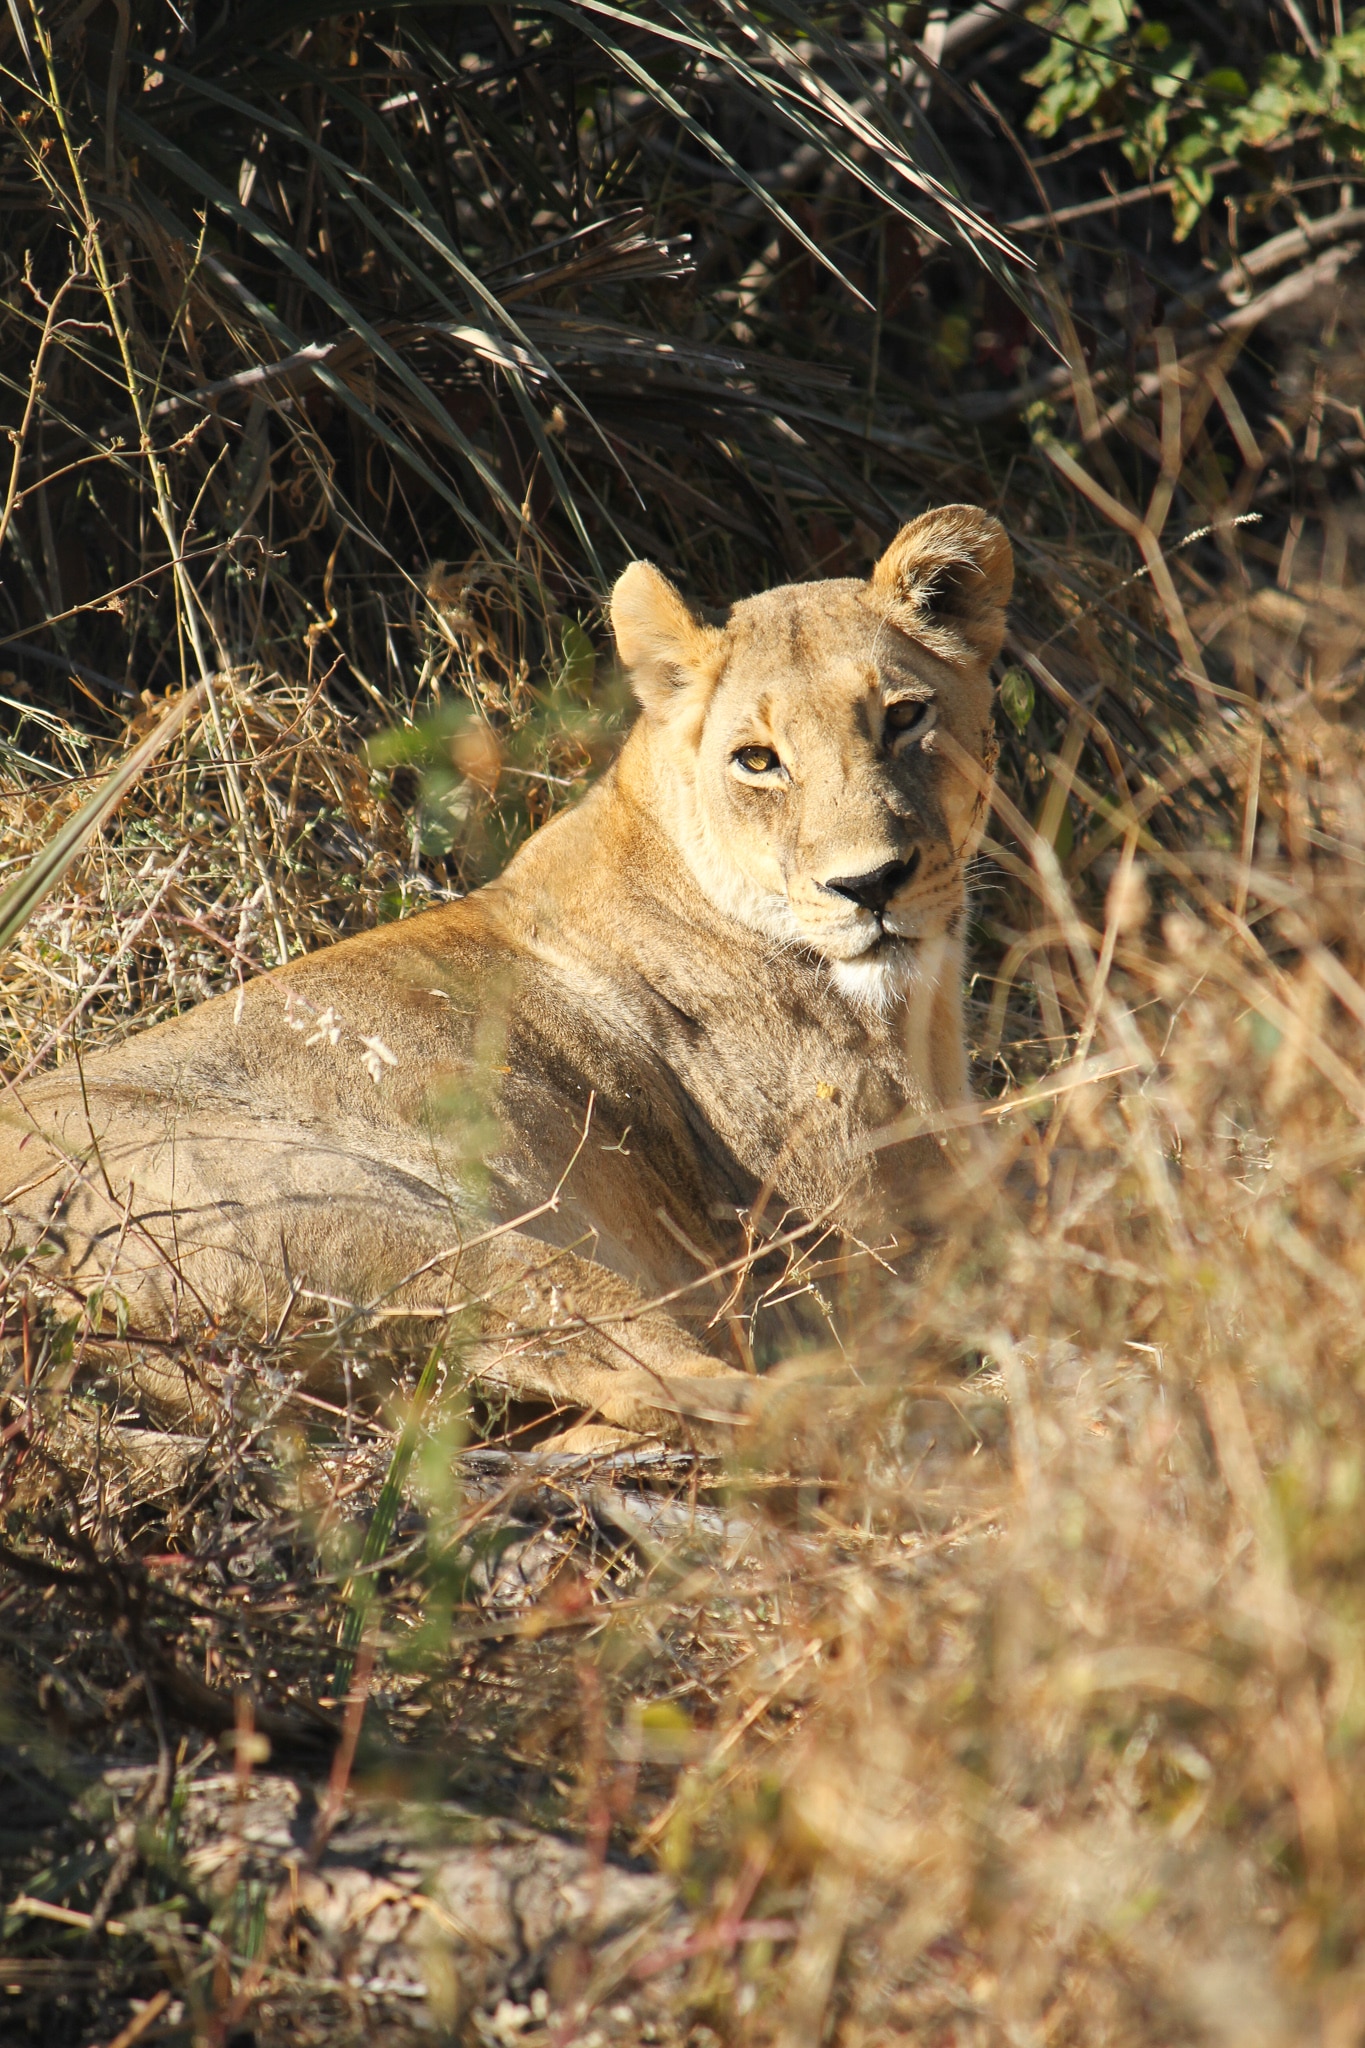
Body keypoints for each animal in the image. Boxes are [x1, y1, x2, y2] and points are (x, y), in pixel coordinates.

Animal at [0, 505, 1011, 1440]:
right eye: (757, 761)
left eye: (904, 717)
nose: (869, 885)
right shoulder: (869, 1254)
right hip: (426, 1231)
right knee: (679, 1387)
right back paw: (961, 1415)